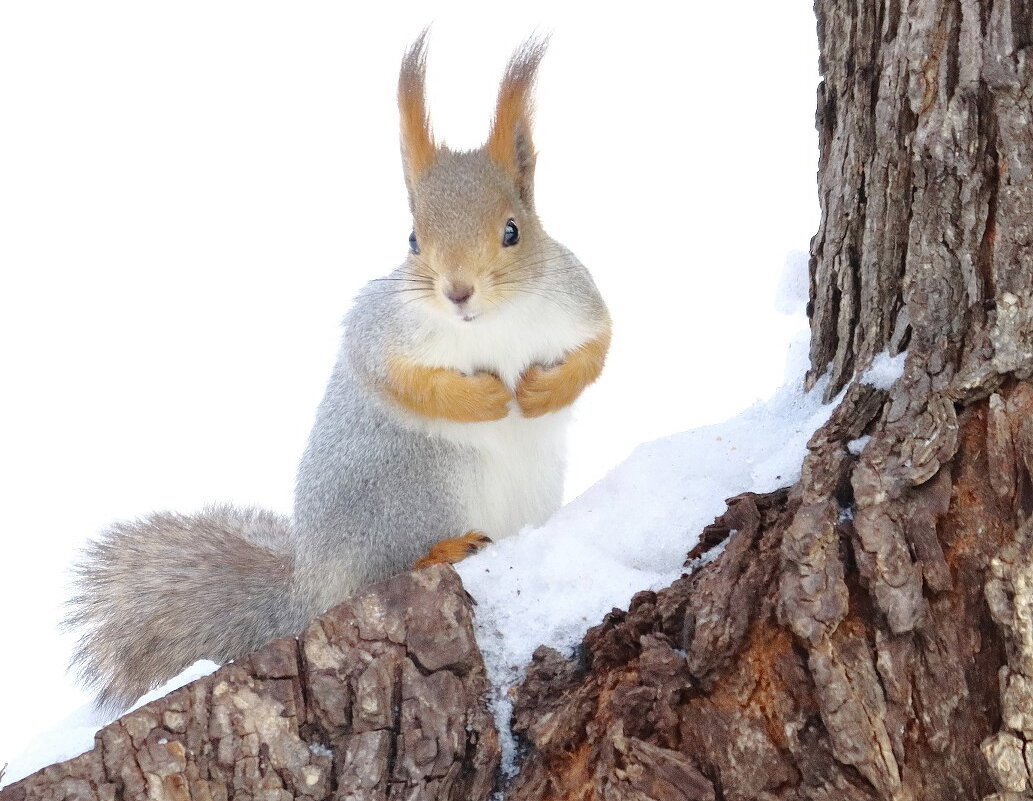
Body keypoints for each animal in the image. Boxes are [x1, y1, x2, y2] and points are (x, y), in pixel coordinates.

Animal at [68, 34, 607, 715]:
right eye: (412, 239)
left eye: (513, 231)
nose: (457, 292)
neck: (489, 321)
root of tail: (310, 589)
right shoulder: (379, 331)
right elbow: (400, 379)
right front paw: (485, 397)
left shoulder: (578, 301)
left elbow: (597, 350)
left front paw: (539, 392)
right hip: (414, 490)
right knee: (387, 567)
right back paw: (443, 549)